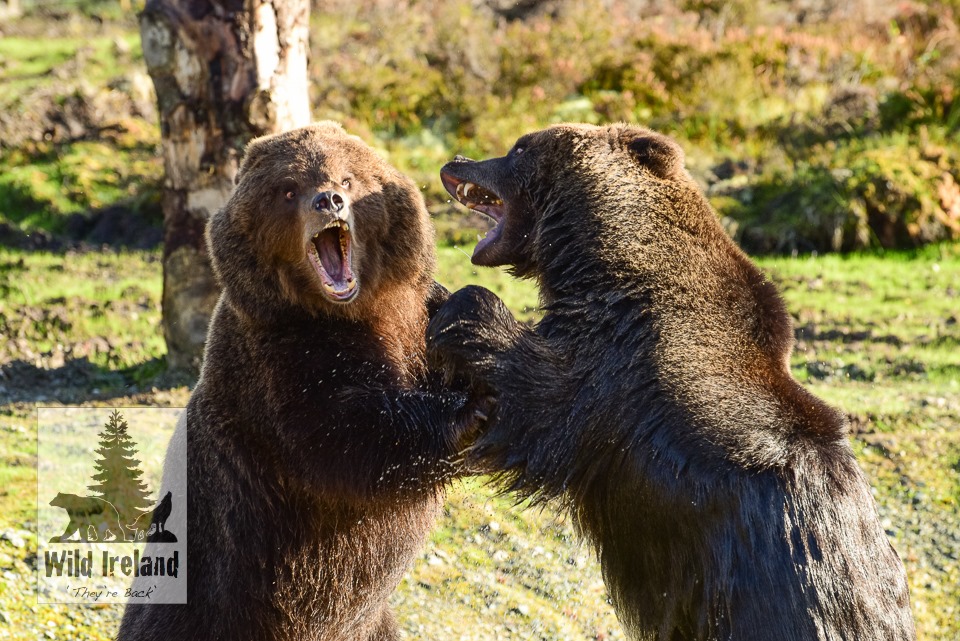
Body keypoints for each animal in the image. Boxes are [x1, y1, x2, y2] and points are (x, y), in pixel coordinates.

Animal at [118, 122, 481, 641]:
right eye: (289, 189)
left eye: (347, 178)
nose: (327, 200)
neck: (353, 311)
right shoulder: (277, 366)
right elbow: (347, 435)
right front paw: (467, 409)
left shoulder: (415, 314)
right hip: (215, 600)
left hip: (371, 624)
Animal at [426, 123, 916, 641]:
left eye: (519, 147)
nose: (458, 160)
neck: (604, 262)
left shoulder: (618, 372)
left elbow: (538, 400)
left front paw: (454, 305)